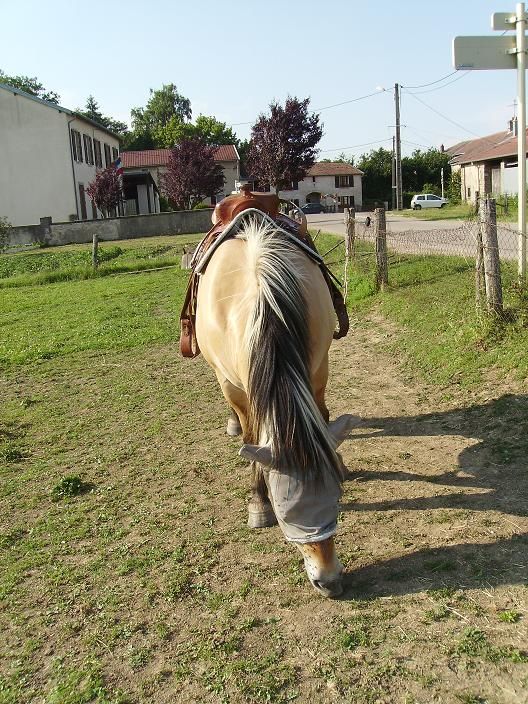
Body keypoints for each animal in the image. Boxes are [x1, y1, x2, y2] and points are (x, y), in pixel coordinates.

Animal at [195, 208, 356, 598]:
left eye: (337, 498)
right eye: (284, 513)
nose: (329, 581)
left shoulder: (317, 364)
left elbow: (322, 414)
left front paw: (339, 457)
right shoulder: (232, 385)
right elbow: (251, 439)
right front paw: (258, 504)